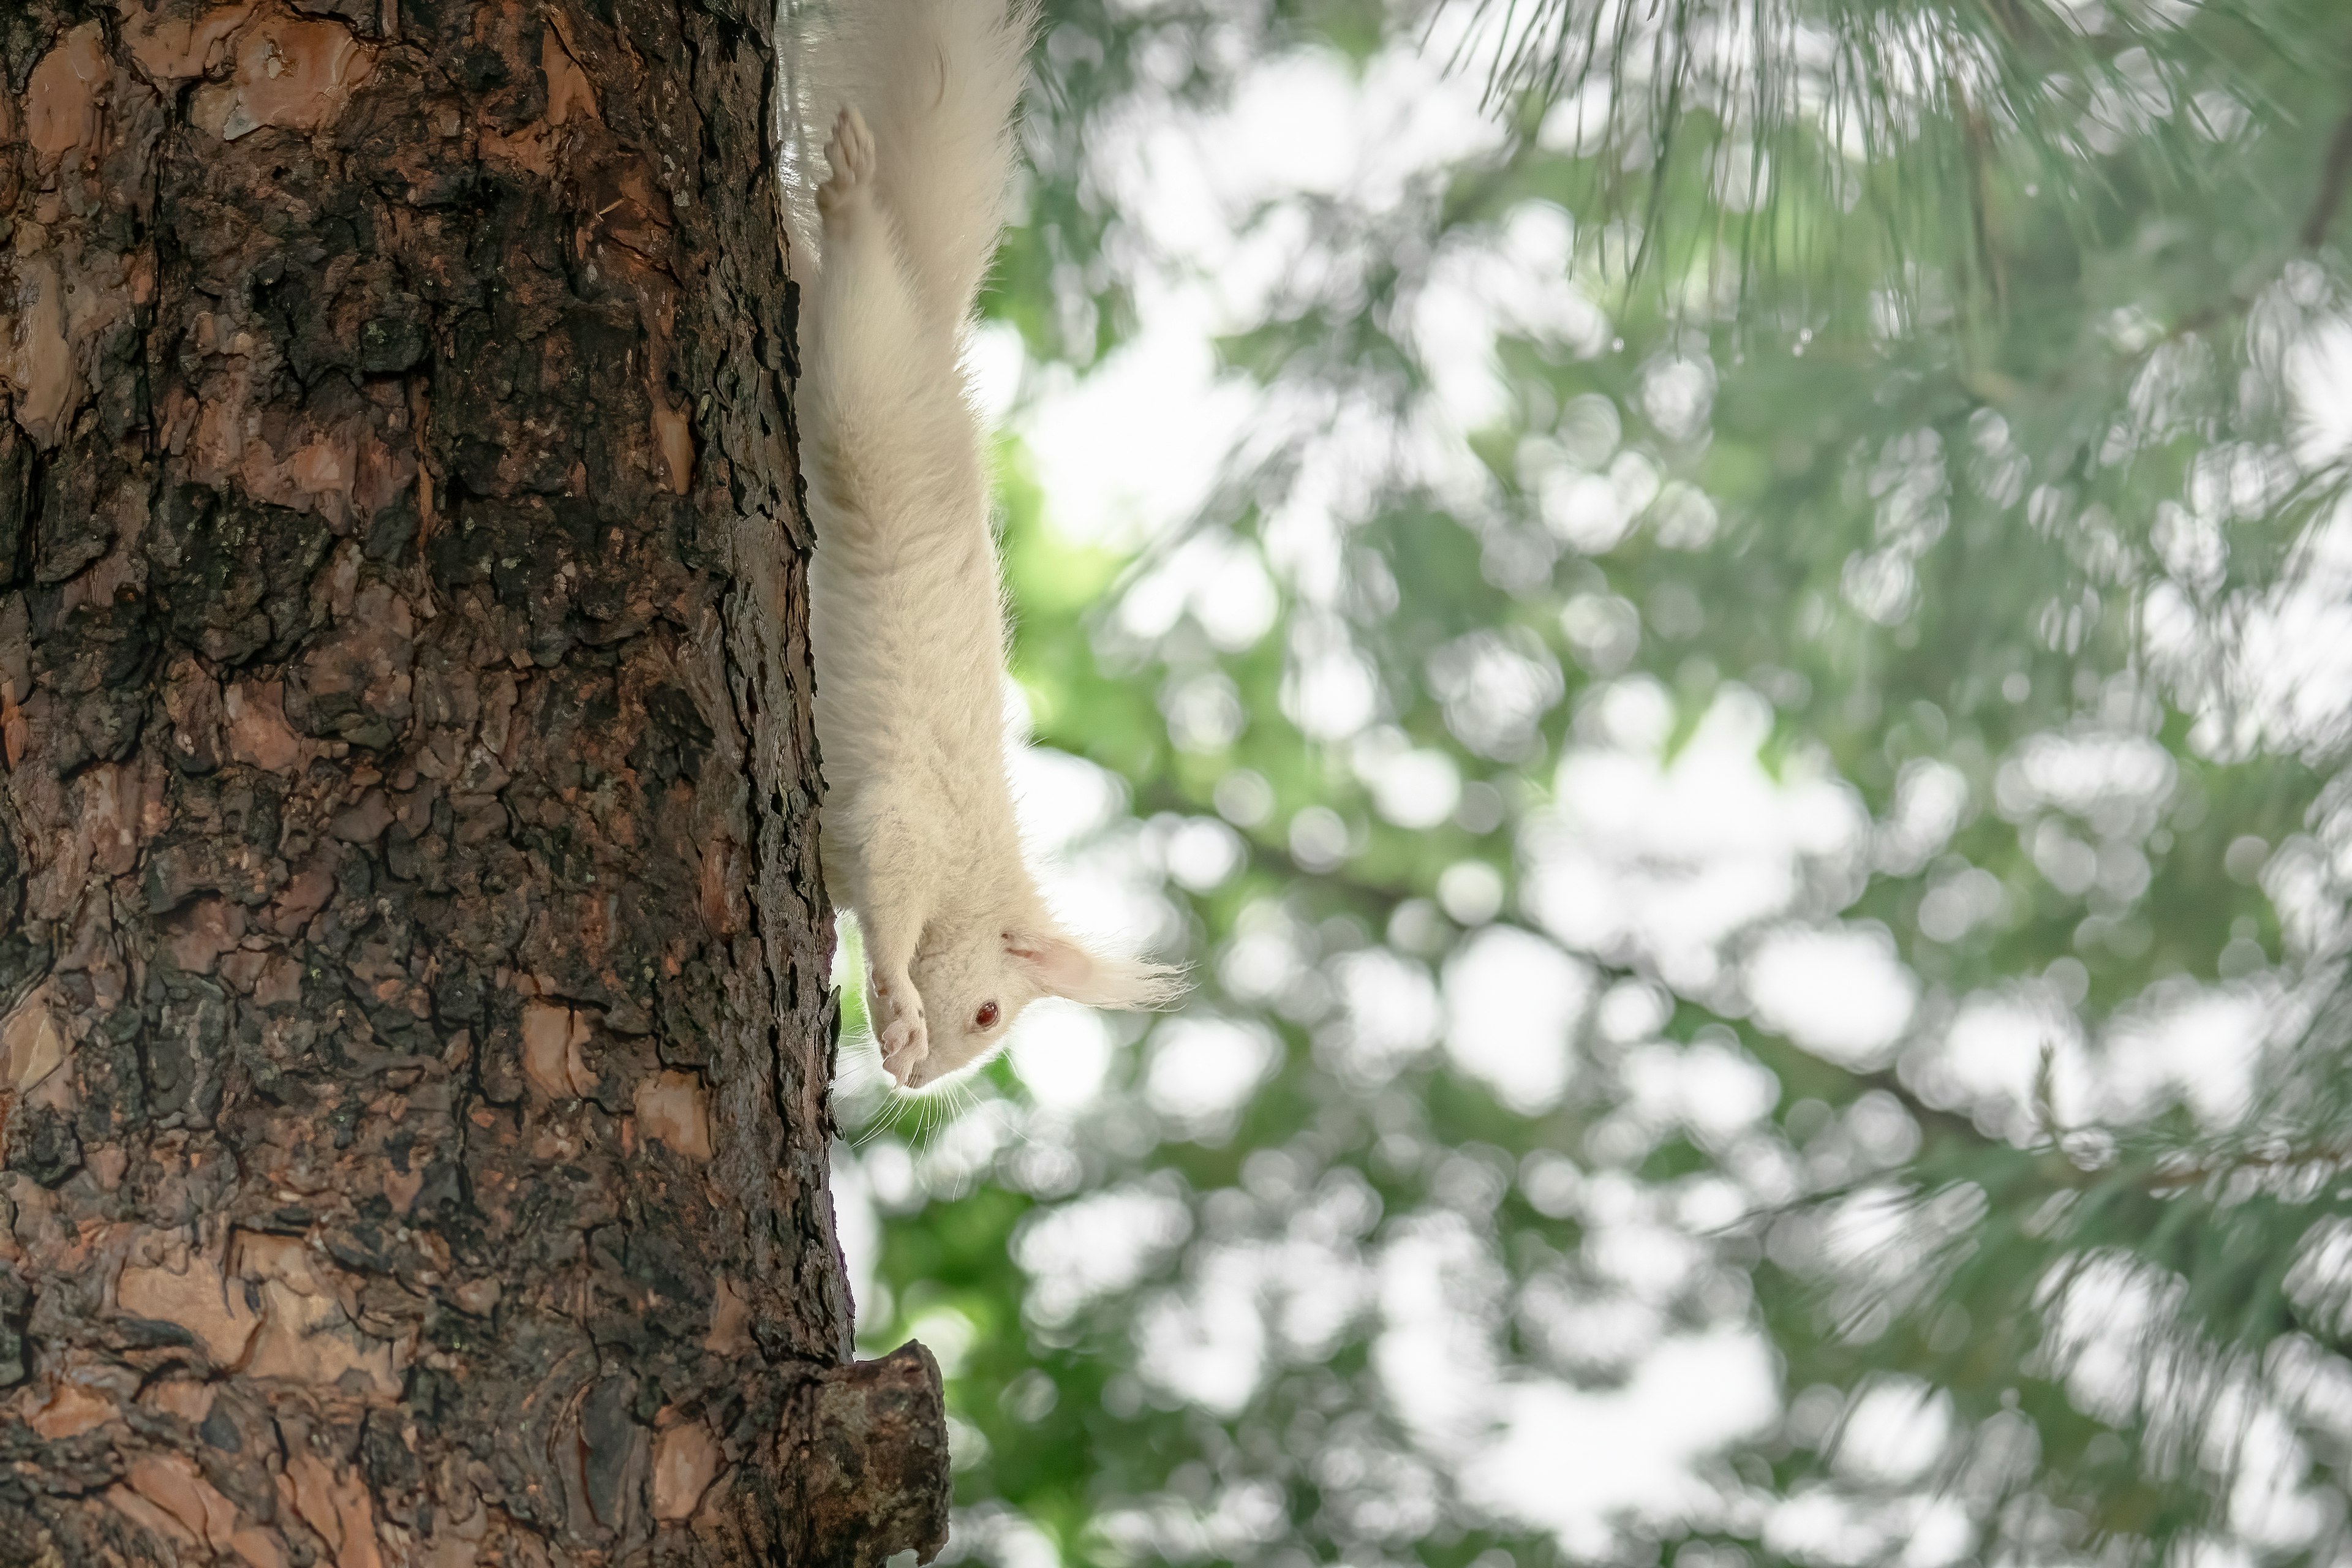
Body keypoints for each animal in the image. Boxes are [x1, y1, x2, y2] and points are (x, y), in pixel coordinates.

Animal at [790, 0, 1185, 1090]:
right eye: (987, 1012)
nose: (916, 1083)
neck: (976, 871)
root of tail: (936, 333)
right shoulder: (912, 826)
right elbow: (889, 905)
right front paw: (895, 1003)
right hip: (869, 396)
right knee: (859, 298)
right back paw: (849, 196)